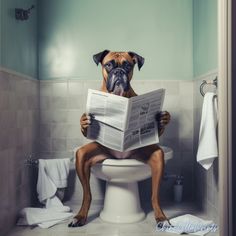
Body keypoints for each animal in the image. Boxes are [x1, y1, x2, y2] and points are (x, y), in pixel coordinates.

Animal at [67, 50, 171, 228]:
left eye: (127, 65)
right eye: (108, 65)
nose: (119, 72)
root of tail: (120, 157)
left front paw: (162, 118)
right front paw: (84, 121)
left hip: (155, 157)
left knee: (154, 195)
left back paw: (161, 217)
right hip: (84, 156)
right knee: (87, 194)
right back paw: (80, 216)